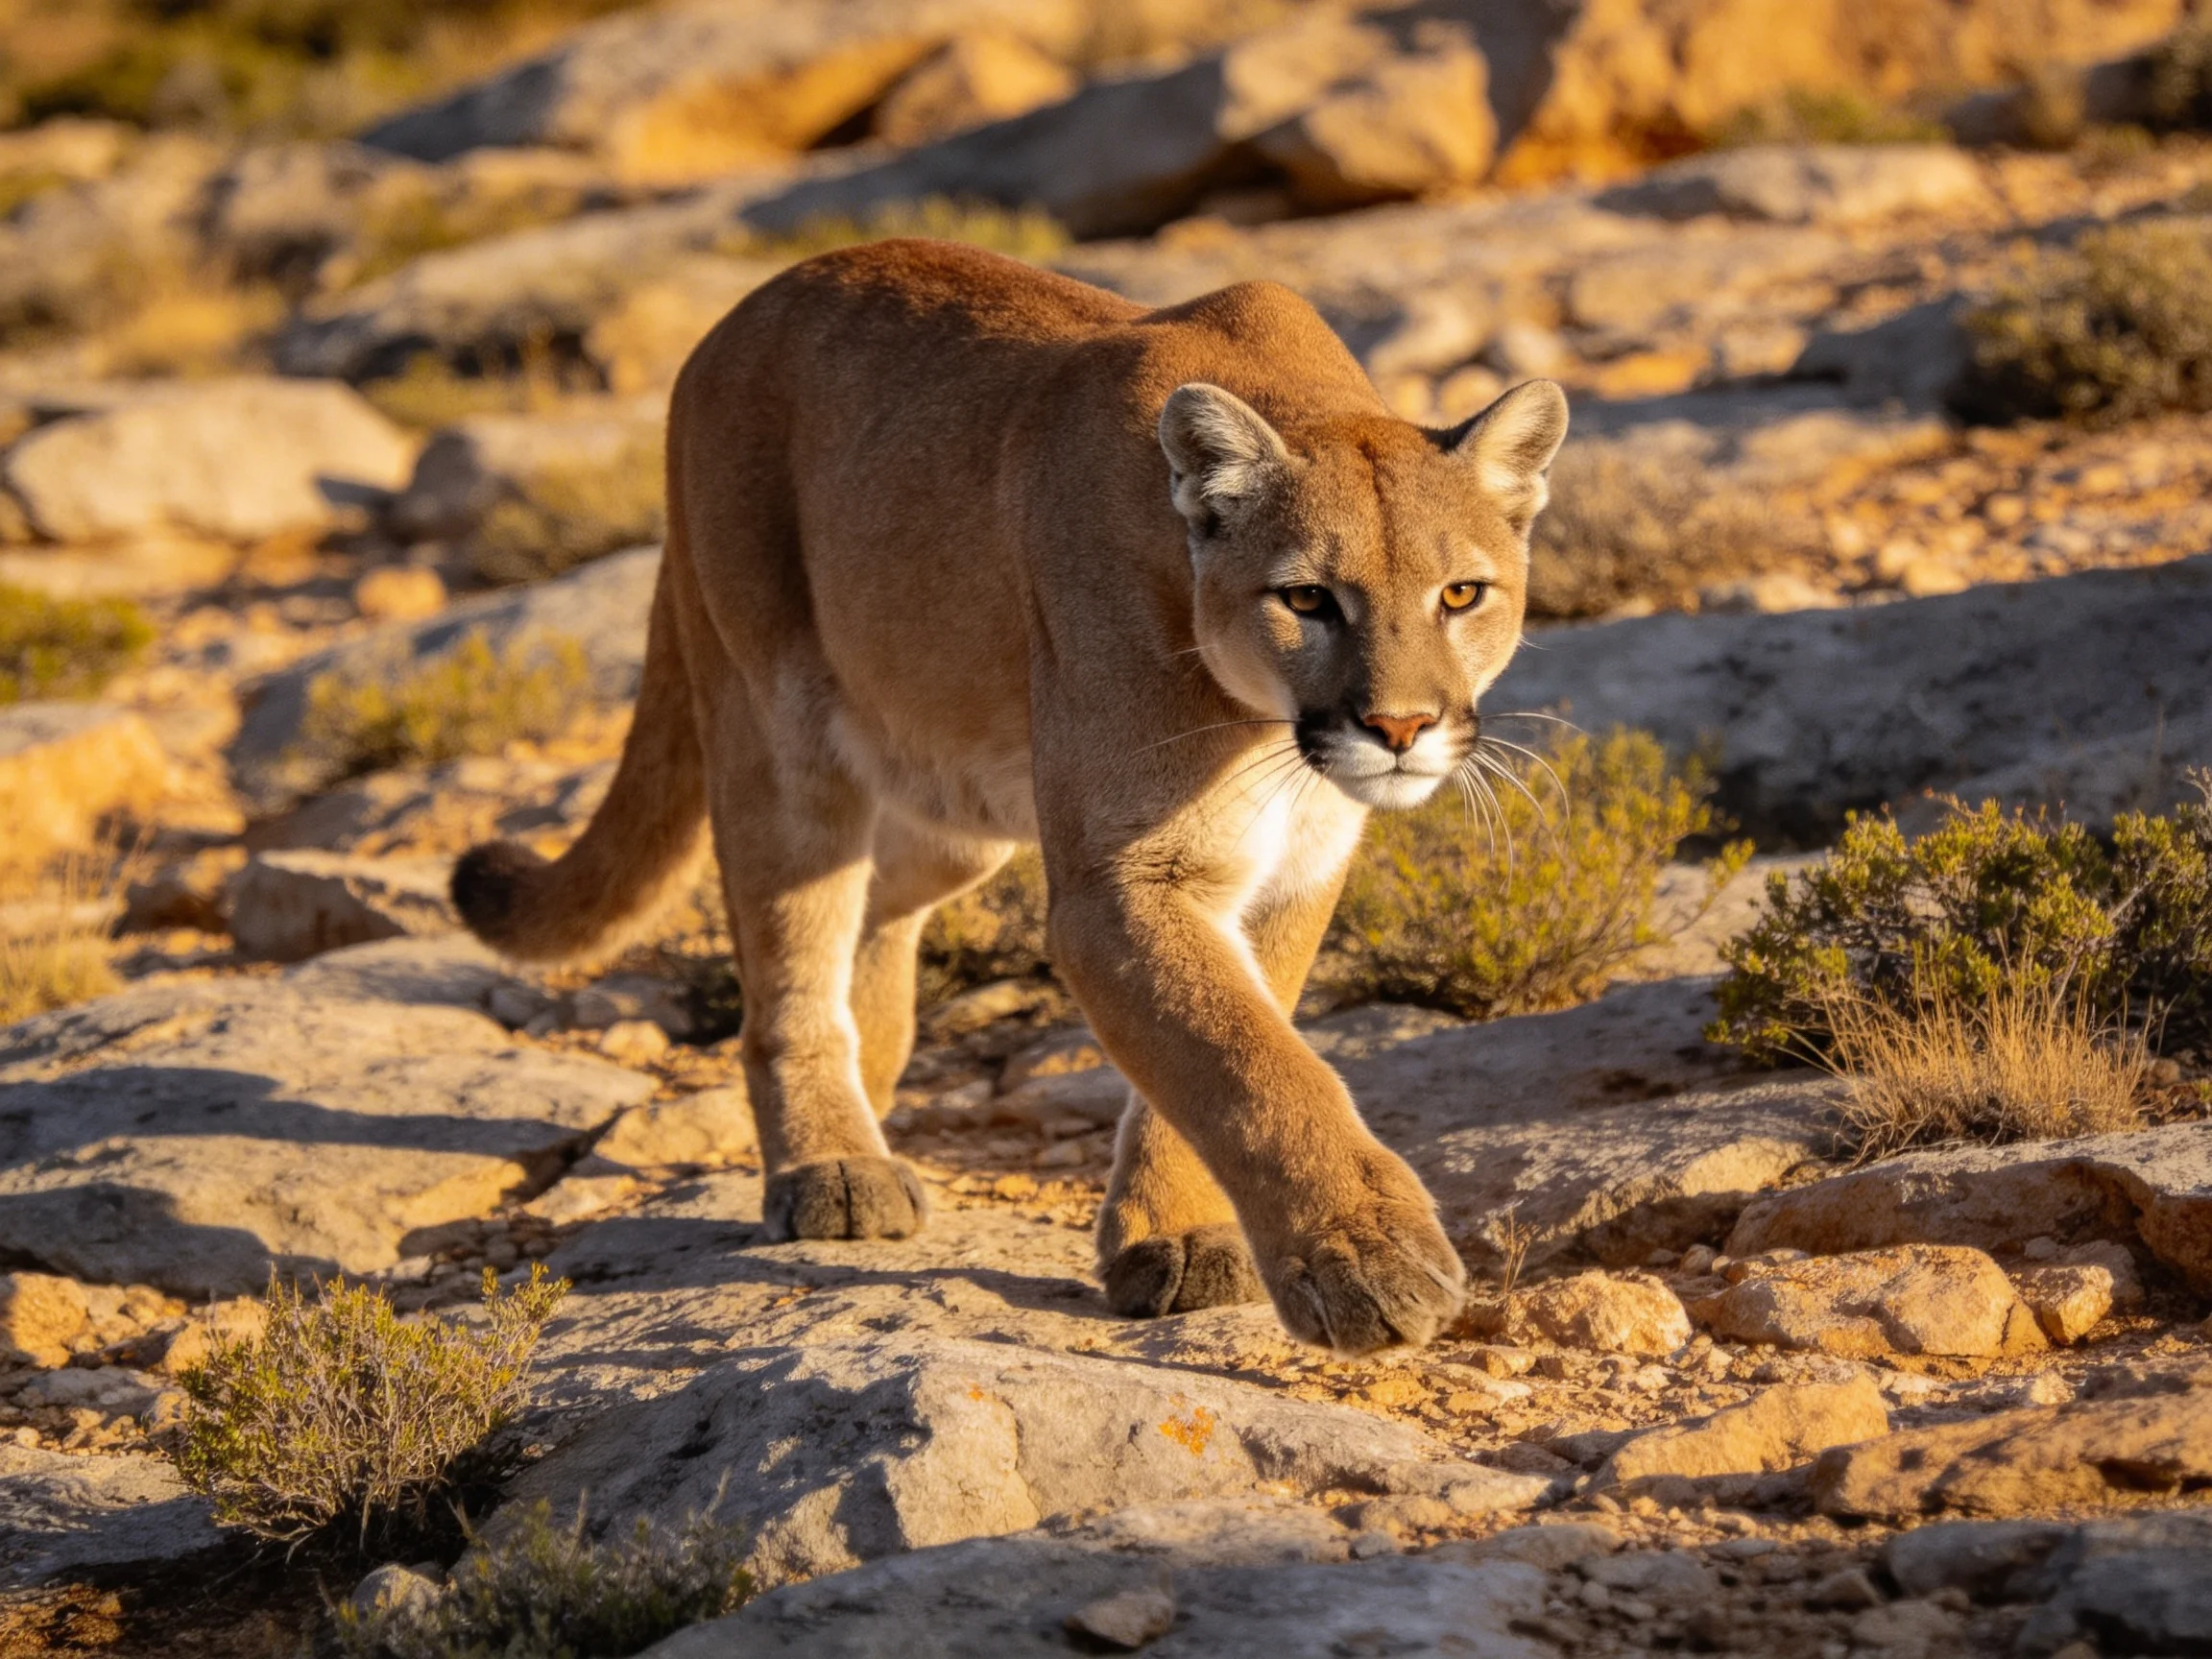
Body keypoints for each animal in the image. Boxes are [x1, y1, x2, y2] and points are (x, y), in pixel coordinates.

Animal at [452, 239, 1567, 1353]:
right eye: (1306, 599)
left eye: (1461, 594)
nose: (1400, 728)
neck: (1261, 728)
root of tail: (738, 315)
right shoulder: (1124, 878)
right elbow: (1245, 1062)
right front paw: (1368, 1262)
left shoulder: (1294, 868)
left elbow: (1224, 1044)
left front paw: (1180, 1238)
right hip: (780, 732)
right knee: (788, 964)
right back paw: (834, 1163)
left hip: (957, 801)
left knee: (879, 902)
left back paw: (872, 1082)